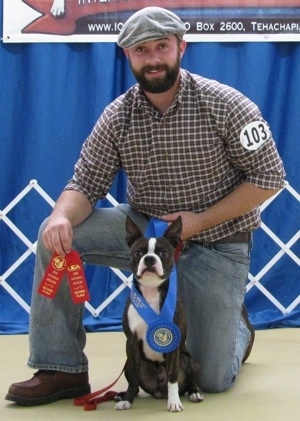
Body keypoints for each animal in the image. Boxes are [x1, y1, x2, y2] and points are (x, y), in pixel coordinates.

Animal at [115, 217, 204, 410]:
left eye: (163, 253)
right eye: (138, 252)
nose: (149, 258)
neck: (151, 293)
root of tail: (158, 392)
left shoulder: (173, 345)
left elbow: (173, 378)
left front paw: (174, 403)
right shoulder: (131, 342)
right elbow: (133, 379)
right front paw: (127, 399)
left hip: (189, 360)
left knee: (188, 381)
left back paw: (194, 393)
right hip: (129, 363)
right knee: (134, 381)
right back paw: (122, 395)